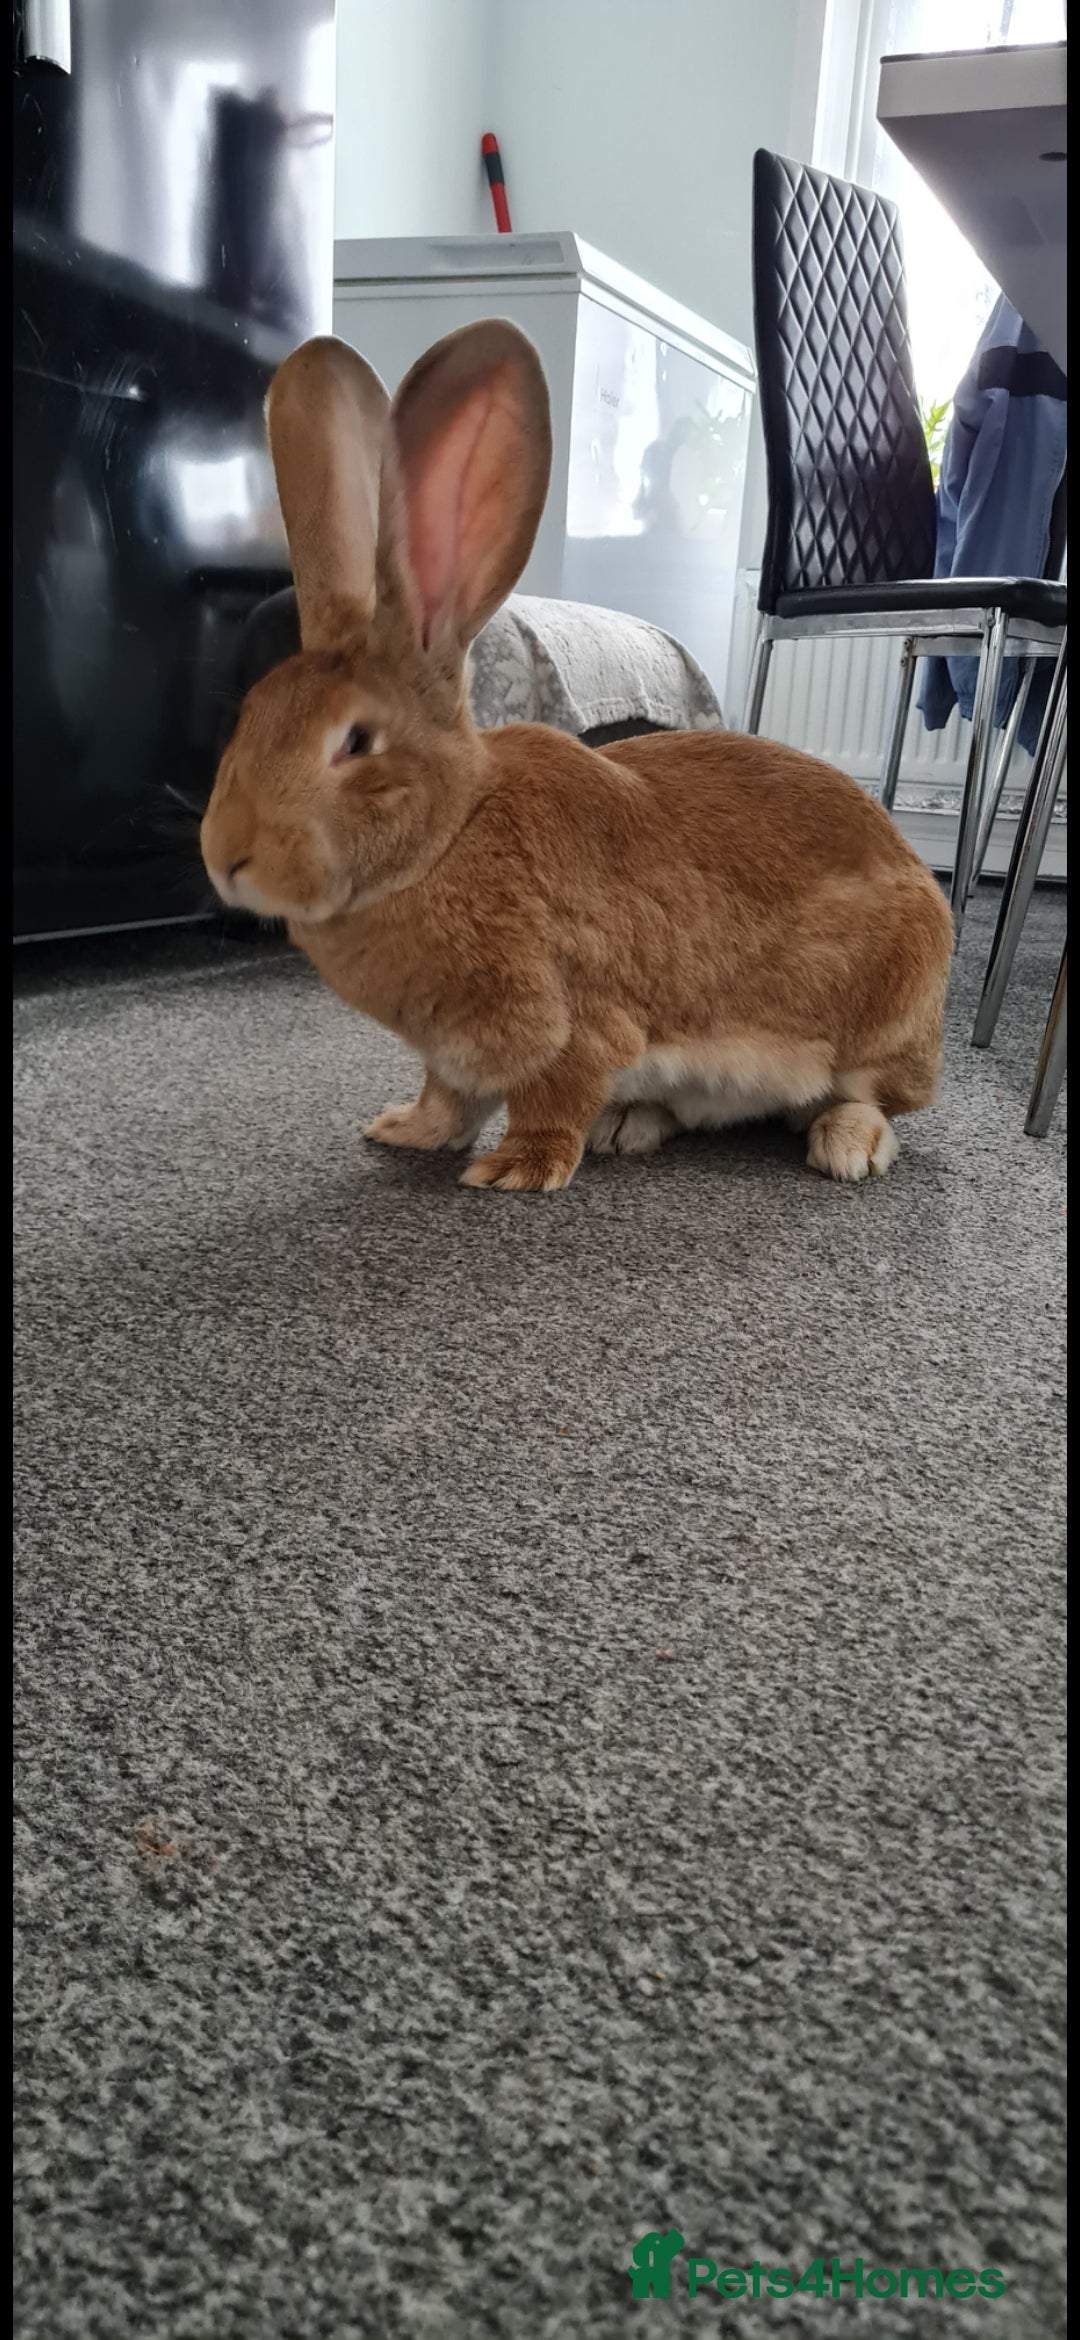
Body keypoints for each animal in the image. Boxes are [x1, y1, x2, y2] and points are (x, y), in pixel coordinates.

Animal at [201, 322, 954, 1194]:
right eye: (251, 713)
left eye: (354, 743)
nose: (226, 859)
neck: (449, 837)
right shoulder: (453, 1056)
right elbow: (447, 1098)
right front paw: (406, 1130)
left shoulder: (572, 1026)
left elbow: (551, 1097)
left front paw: (516, 1170)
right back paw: (630, 1125)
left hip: (884, 1021)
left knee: (870, 1097)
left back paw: (846, 1146)